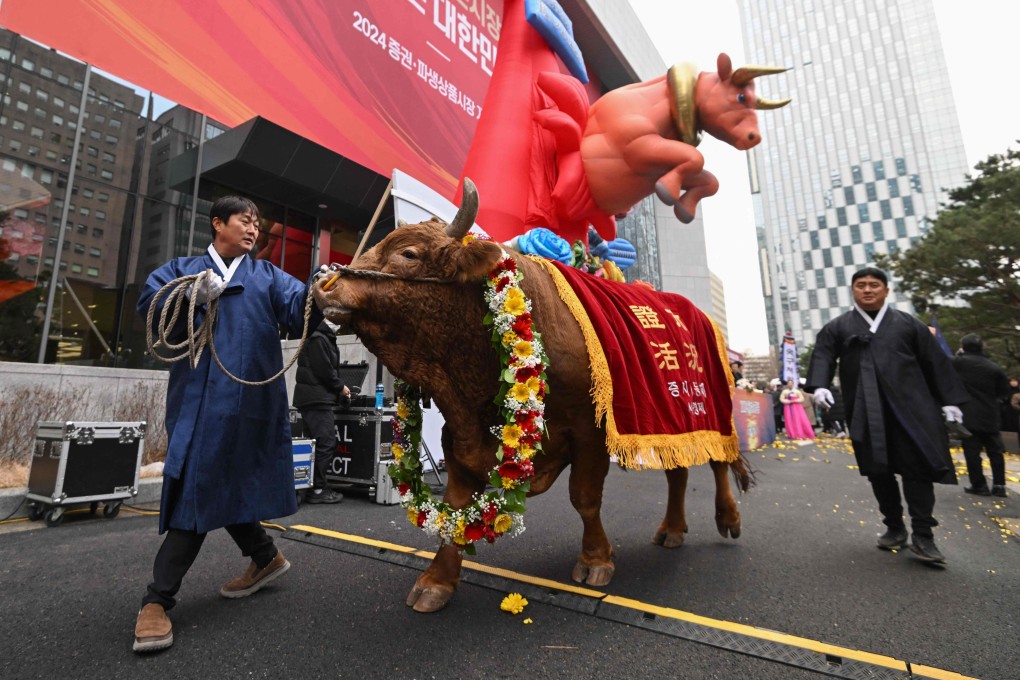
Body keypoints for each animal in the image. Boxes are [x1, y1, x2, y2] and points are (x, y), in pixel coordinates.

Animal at [312, 183, 750, 615]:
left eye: (408, 253)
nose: (323, 282)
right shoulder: (458, 435)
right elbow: (455, 507)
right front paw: (436, 582)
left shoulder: (589, 432)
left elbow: (584, 498)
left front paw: (595, 561)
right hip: (669, 420)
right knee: (679, 472)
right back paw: (671, 530)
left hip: (709, 409)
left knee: (718, 461)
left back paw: (727, 518)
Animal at [583, 53, 787, 223]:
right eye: (742, 97)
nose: (754, 137)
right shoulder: (636, 146)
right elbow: (696, 158)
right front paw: (668, 190)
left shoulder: (655, 170)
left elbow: (711, 181)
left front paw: (685, 208)